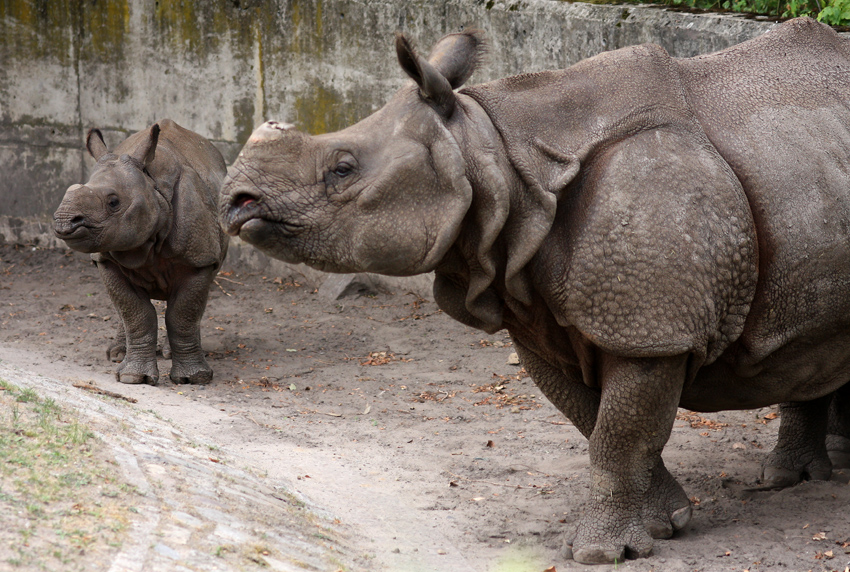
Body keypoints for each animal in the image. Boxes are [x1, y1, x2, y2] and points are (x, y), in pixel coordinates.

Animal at [56, 120, 229, 386]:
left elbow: (183, 314)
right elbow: (135, 313)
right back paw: (118, 354)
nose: (65, 221)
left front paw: (194, 378)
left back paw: (171, 353)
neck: (152, 187)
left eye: (114, 202)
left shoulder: (199, 258)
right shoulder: (106, 260)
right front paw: (132, 377)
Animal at [220, 16, 848, 564]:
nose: (235, 201)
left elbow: (619, 434)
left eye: (343, 168)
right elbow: (597, 421)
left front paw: (601, 554)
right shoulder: (538, 314)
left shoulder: (650, 328)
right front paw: (666, 522)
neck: (495, 160)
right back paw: (793, 477)